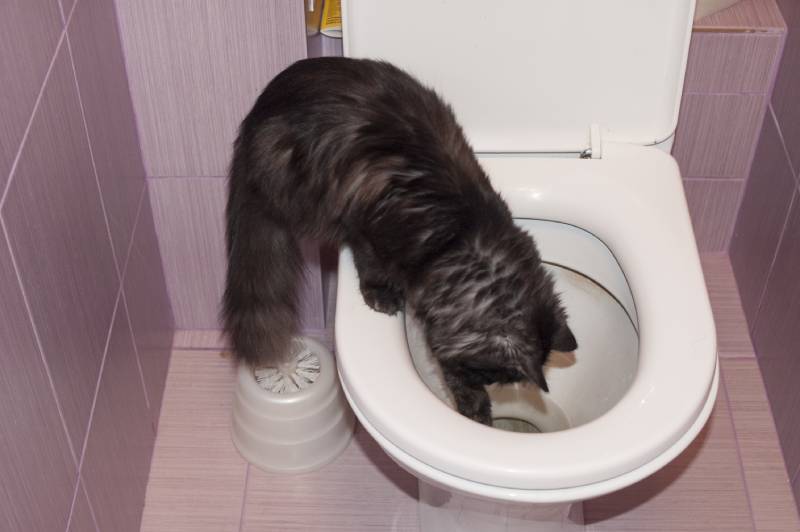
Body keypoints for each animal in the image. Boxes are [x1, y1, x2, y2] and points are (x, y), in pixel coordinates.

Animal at [222, 56, 580, 426]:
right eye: (489, 374)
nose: (483, 383)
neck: (461, 236)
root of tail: (255, 116)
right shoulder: (368, 230)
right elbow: (370, 265)